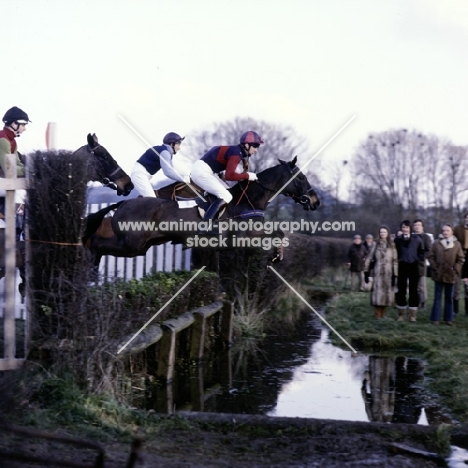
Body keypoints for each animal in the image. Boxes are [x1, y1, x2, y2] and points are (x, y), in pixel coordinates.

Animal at [83, 157, 318, 266]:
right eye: (301, 177)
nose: (314, 200)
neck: (247, 201)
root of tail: (123, 203)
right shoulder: (245, 235)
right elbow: (277, 232)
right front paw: (276, 255)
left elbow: (279, 232)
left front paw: (277, 255)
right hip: (131, 244)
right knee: (98, 244)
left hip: (142, 246)